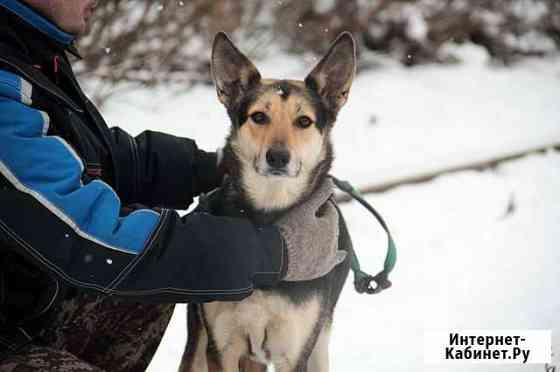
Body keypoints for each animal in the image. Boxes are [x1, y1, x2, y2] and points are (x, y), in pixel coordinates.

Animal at [179, 32, 354, 372]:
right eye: (259, 116)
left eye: (304, 121)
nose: (278, 157)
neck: (267, 219)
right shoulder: (221, 347)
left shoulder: (295, 351)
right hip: (198, 345)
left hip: (320, 344)